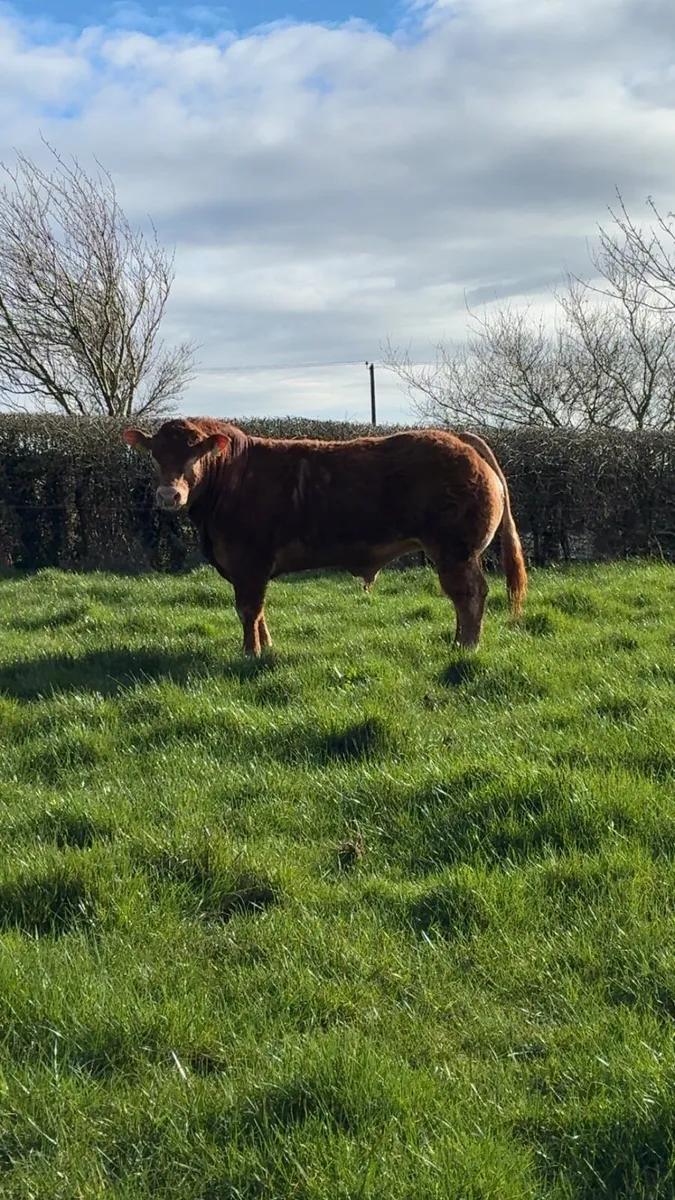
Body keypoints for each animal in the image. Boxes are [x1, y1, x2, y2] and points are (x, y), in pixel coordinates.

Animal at [123, 418, 527, 657]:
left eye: (193, 456)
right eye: (155, 455)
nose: (168, 495)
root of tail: (457, 436)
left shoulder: (249, 561)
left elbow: (248, 609)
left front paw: (251, 653)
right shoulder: (247, 568)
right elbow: (259, 611)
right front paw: (267, 647)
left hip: (455, 550)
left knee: (469, 595)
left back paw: (466, 646)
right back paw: (459, 641)